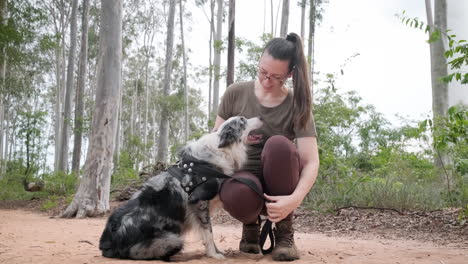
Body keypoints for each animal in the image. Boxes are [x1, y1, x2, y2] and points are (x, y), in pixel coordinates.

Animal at [98, 116, 264, 260]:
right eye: (243, 120)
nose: (261, 117)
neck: (221, 149)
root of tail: (109, 239)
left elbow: (208, 233)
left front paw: (216, 252)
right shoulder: (199, 202)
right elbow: (209, 233)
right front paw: (214, 255)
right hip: (172, 240)